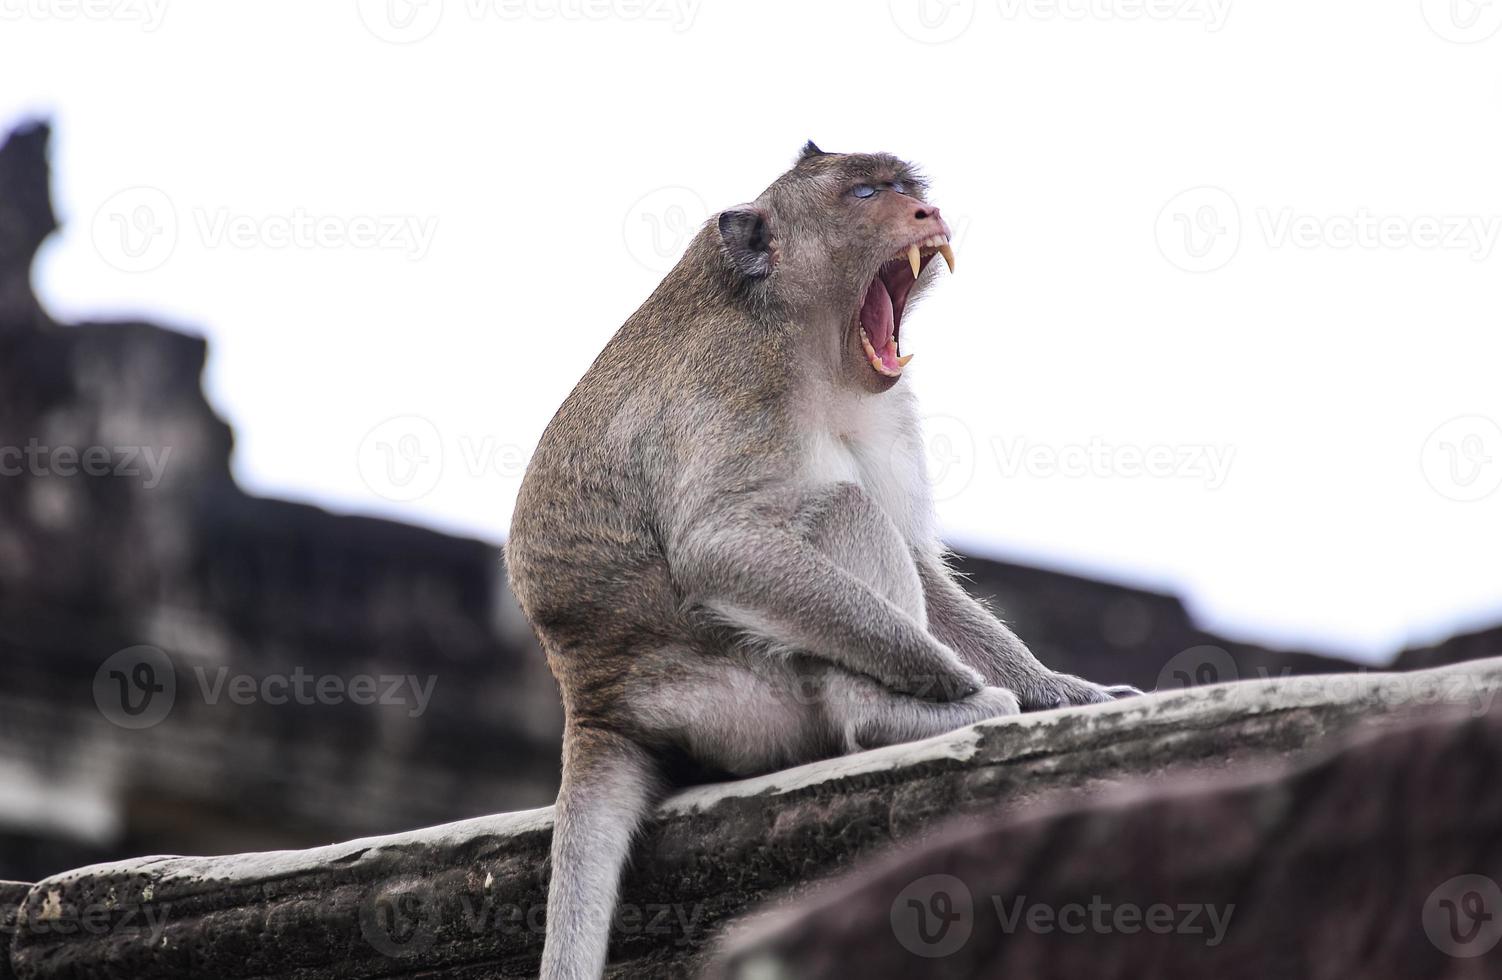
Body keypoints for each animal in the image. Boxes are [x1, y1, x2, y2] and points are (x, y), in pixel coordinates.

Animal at [507, 141, 1135, 973]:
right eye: (866, 194)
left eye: (903, 187)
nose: (925, 211)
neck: (812, 344)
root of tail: (594, 699)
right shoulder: (737, 385)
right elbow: (721, 547)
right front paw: (954, 679)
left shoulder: (885, 406)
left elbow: (916, 558)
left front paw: (1061, 690)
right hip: (740, 698)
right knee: (840, 515)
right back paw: (892, 716)